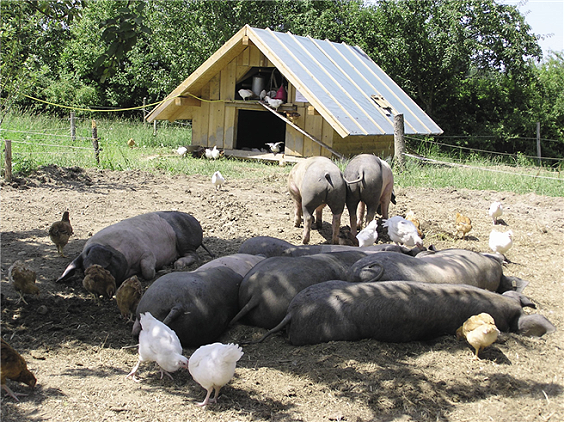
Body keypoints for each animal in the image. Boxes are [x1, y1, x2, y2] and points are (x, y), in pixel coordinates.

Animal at [56, 213, 212, 286]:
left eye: (104, 268)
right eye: (85, 271)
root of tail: (194, 220)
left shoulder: (147, 253)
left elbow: (148, 271)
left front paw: (158, 271)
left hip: (184, 240)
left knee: (193, 255)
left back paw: (176, 265)